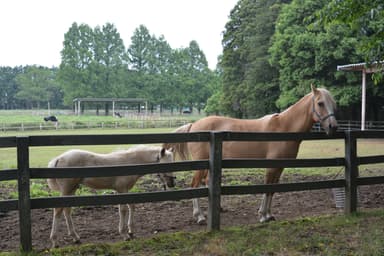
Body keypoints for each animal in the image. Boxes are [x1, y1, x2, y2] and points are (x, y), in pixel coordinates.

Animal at [46, 145, 176, 247]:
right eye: (166, 164)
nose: (172, 183)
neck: (130, 163)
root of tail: (59, 158)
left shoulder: (123, 190)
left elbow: (131, 206)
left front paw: (131, 231)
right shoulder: (122, 189)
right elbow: (123, 209)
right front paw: (124, 235)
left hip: (72, 189)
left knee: (67, 210)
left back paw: (75, 237)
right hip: (67, 189)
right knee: (58, 210)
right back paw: (55, 241)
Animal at [164, 85, 338, 224]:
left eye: (333, 104)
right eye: (320, 103)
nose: (333, 127)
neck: (284, 127)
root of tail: (194, 124)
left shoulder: (279, 167)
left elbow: (273, 190)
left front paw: (269, 215)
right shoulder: (271, 167)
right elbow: (267, 188)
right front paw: (262, 215)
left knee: (205, 183)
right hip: (201, 165)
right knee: (194, 185)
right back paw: (199, 216)